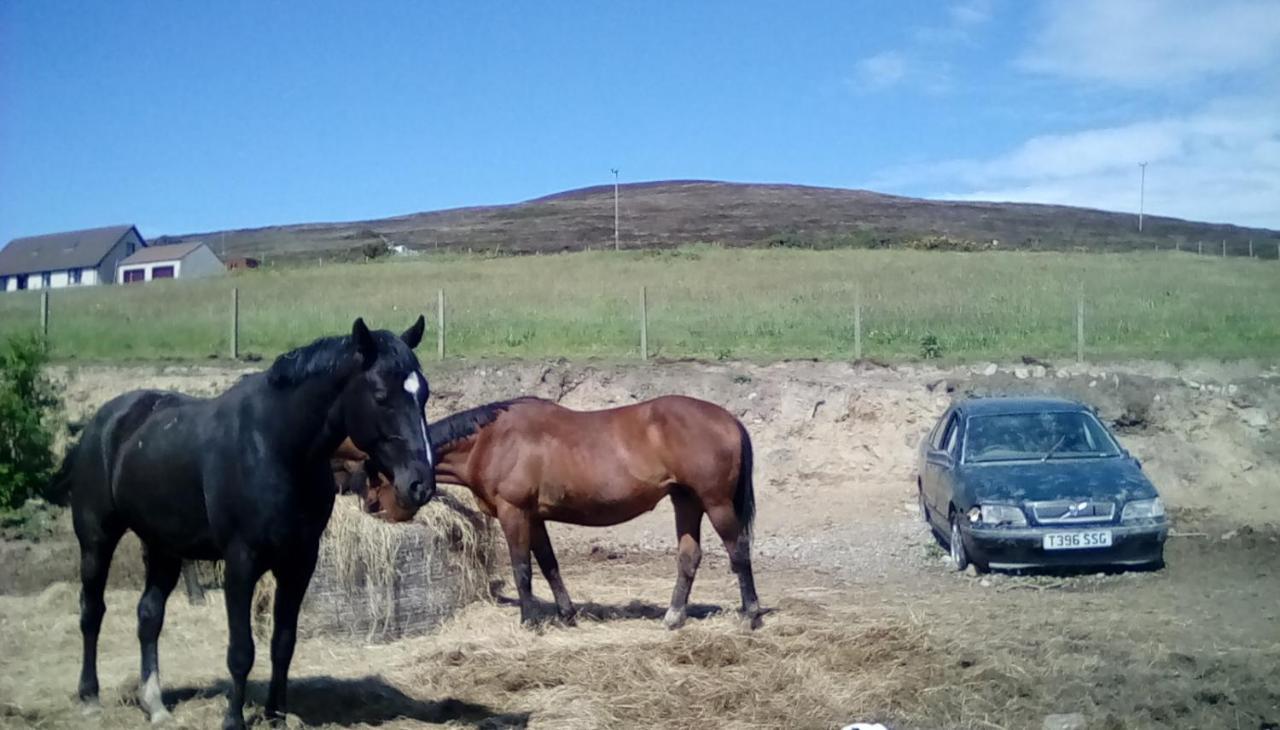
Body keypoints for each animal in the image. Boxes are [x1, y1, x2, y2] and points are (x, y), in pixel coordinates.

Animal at [46, 316, 440, 727]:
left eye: (424, 394)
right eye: (380, 395)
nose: (420, 484)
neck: (276, 446)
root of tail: (102, 421)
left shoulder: (300, 562)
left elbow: (283, 643)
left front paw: (276, 715)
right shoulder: (241, 562)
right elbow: (241, 650)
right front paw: (234, 719)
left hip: (162, 547)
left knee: (149, 616)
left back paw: (154, 704)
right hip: (97, 538)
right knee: (92, 610)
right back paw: (89, 695)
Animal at [360, 394, 757, 627]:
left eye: (377, 469)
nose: (372, 507)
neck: (491, 440)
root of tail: (729, 419)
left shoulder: (514, 512)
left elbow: (522, 568)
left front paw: (529, 620)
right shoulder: (535, 517)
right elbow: (549, 565)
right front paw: (566, 615)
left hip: (715, 502)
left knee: (739, 552)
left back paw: (750, 615)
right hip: (685, 500)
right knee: (689, 556)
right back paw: (674, 617)